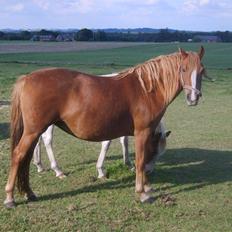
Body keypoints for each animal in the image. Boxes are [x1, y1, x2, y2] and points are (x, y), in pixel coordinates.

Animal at [3, 46, 205, 208]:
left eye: (202, 71)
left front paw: (145, 186)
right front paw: (142, 192)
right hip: (34, 131)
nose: (193, 98)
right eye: (184, 69)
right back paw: (10, 198)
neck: (147, 89)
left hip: (34, 131)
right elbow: (139, 159)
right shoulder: (143, 132)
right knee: (19, 155)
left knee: (27, 157)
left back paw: (29, 192)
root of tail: (27, 78)